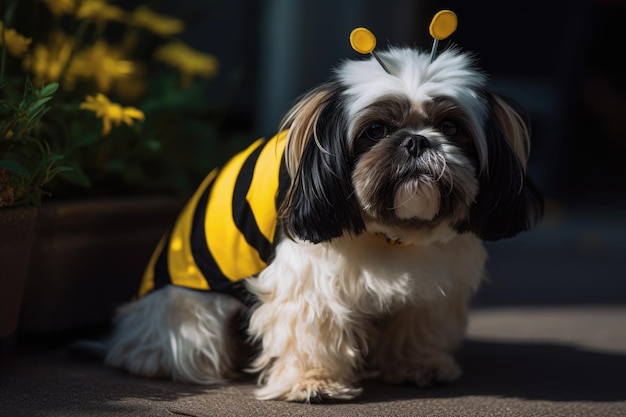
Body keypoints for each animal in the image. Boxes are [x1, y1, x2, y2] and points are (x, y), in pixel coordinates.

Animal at [103, 24, 540, 402]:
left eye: (451, 127)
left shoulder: (435, 277)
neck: (394, 233)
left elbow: (418, 321)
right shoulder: (310, 281)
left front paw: (418, 365)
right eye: (375, 131)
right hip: (192, 320)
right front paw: (312, 382)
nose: (417, 141)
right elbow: (312, 330)